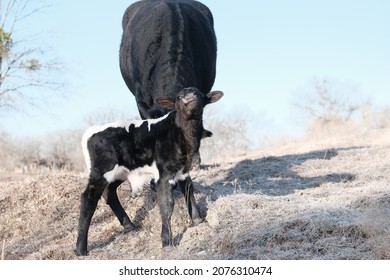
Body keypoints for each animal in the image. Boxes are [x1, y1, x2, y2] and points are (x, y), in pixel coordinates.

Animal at [76, 87, 222, 256]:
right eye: (179, 97)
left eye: (197, 93)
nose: (189, 98)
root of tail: (92, 130)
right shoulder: (164, 174)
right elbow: (167, 204)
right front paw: (167, 241)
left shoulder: (183, 171)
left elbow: (189, 192)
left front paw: (198, 221)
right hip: (101, 171)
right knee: (88, 199)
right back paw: (80, 248)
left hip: (120, 172)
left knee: (109, 192)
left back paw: (129, 226)